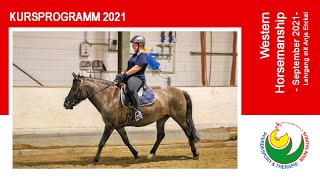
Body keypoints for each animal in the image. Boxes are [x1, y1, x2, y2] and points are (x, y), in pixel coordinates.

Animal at [63, 72, 200, 165]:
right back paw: (151, 154)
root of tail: (180, 91)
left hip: (179, 117)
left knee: (188, 132)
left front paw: (94, 160)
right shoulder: (118, 126)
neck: (108, 97)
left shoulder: (109, 125)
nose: (66, 104)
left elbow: (102, 142)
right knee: (161, 135)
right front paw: (136, 155)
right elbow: (126, 140)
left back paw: (195, 154)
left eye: (74, 88)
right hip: (162, 118)